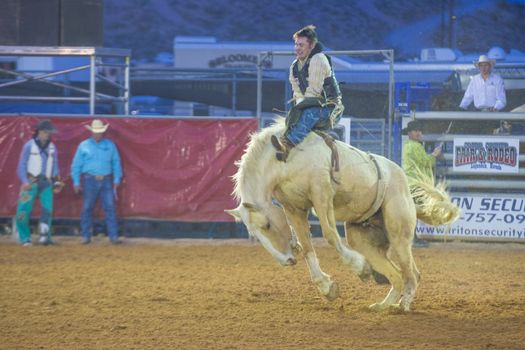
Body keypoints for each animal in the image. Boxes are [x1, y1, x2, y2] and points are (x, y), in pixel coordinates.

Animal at [227, 121, 456, 312]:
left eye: (266, 224)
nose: (287, 261)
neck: (285, 158)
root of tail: (405, 186)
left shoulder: (322, 193)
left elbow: (330, 235)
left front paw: (360, 268)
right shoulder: (293, 208)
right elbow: (307, 247)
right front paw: (328, 288)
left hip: (399, 233)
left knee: (412, 274)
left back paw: (404, 304)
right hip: (363, 239)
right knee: (397, 275)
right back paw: (383, 305)